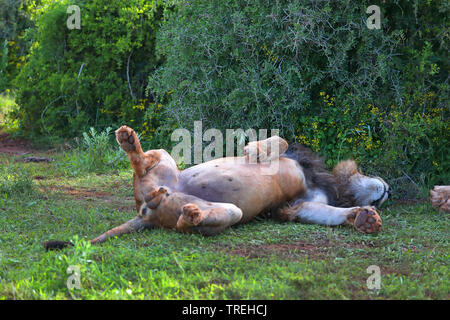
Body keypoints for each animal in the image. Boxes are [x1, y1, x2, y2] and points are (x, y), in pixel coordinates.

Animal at [85, 125, 390, 245]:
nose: (388, 191)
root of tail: (145, 211)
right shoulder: (294, 156)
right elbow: (281, 141)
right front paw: (255, 150)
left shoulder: (294, 207)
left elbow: (330, 214)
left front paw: (364, 219)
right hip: (165, 156)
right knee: (142, 161)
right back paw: (128, 140)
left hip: (229, 211)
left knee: (188, 225)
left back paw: (190, 214)